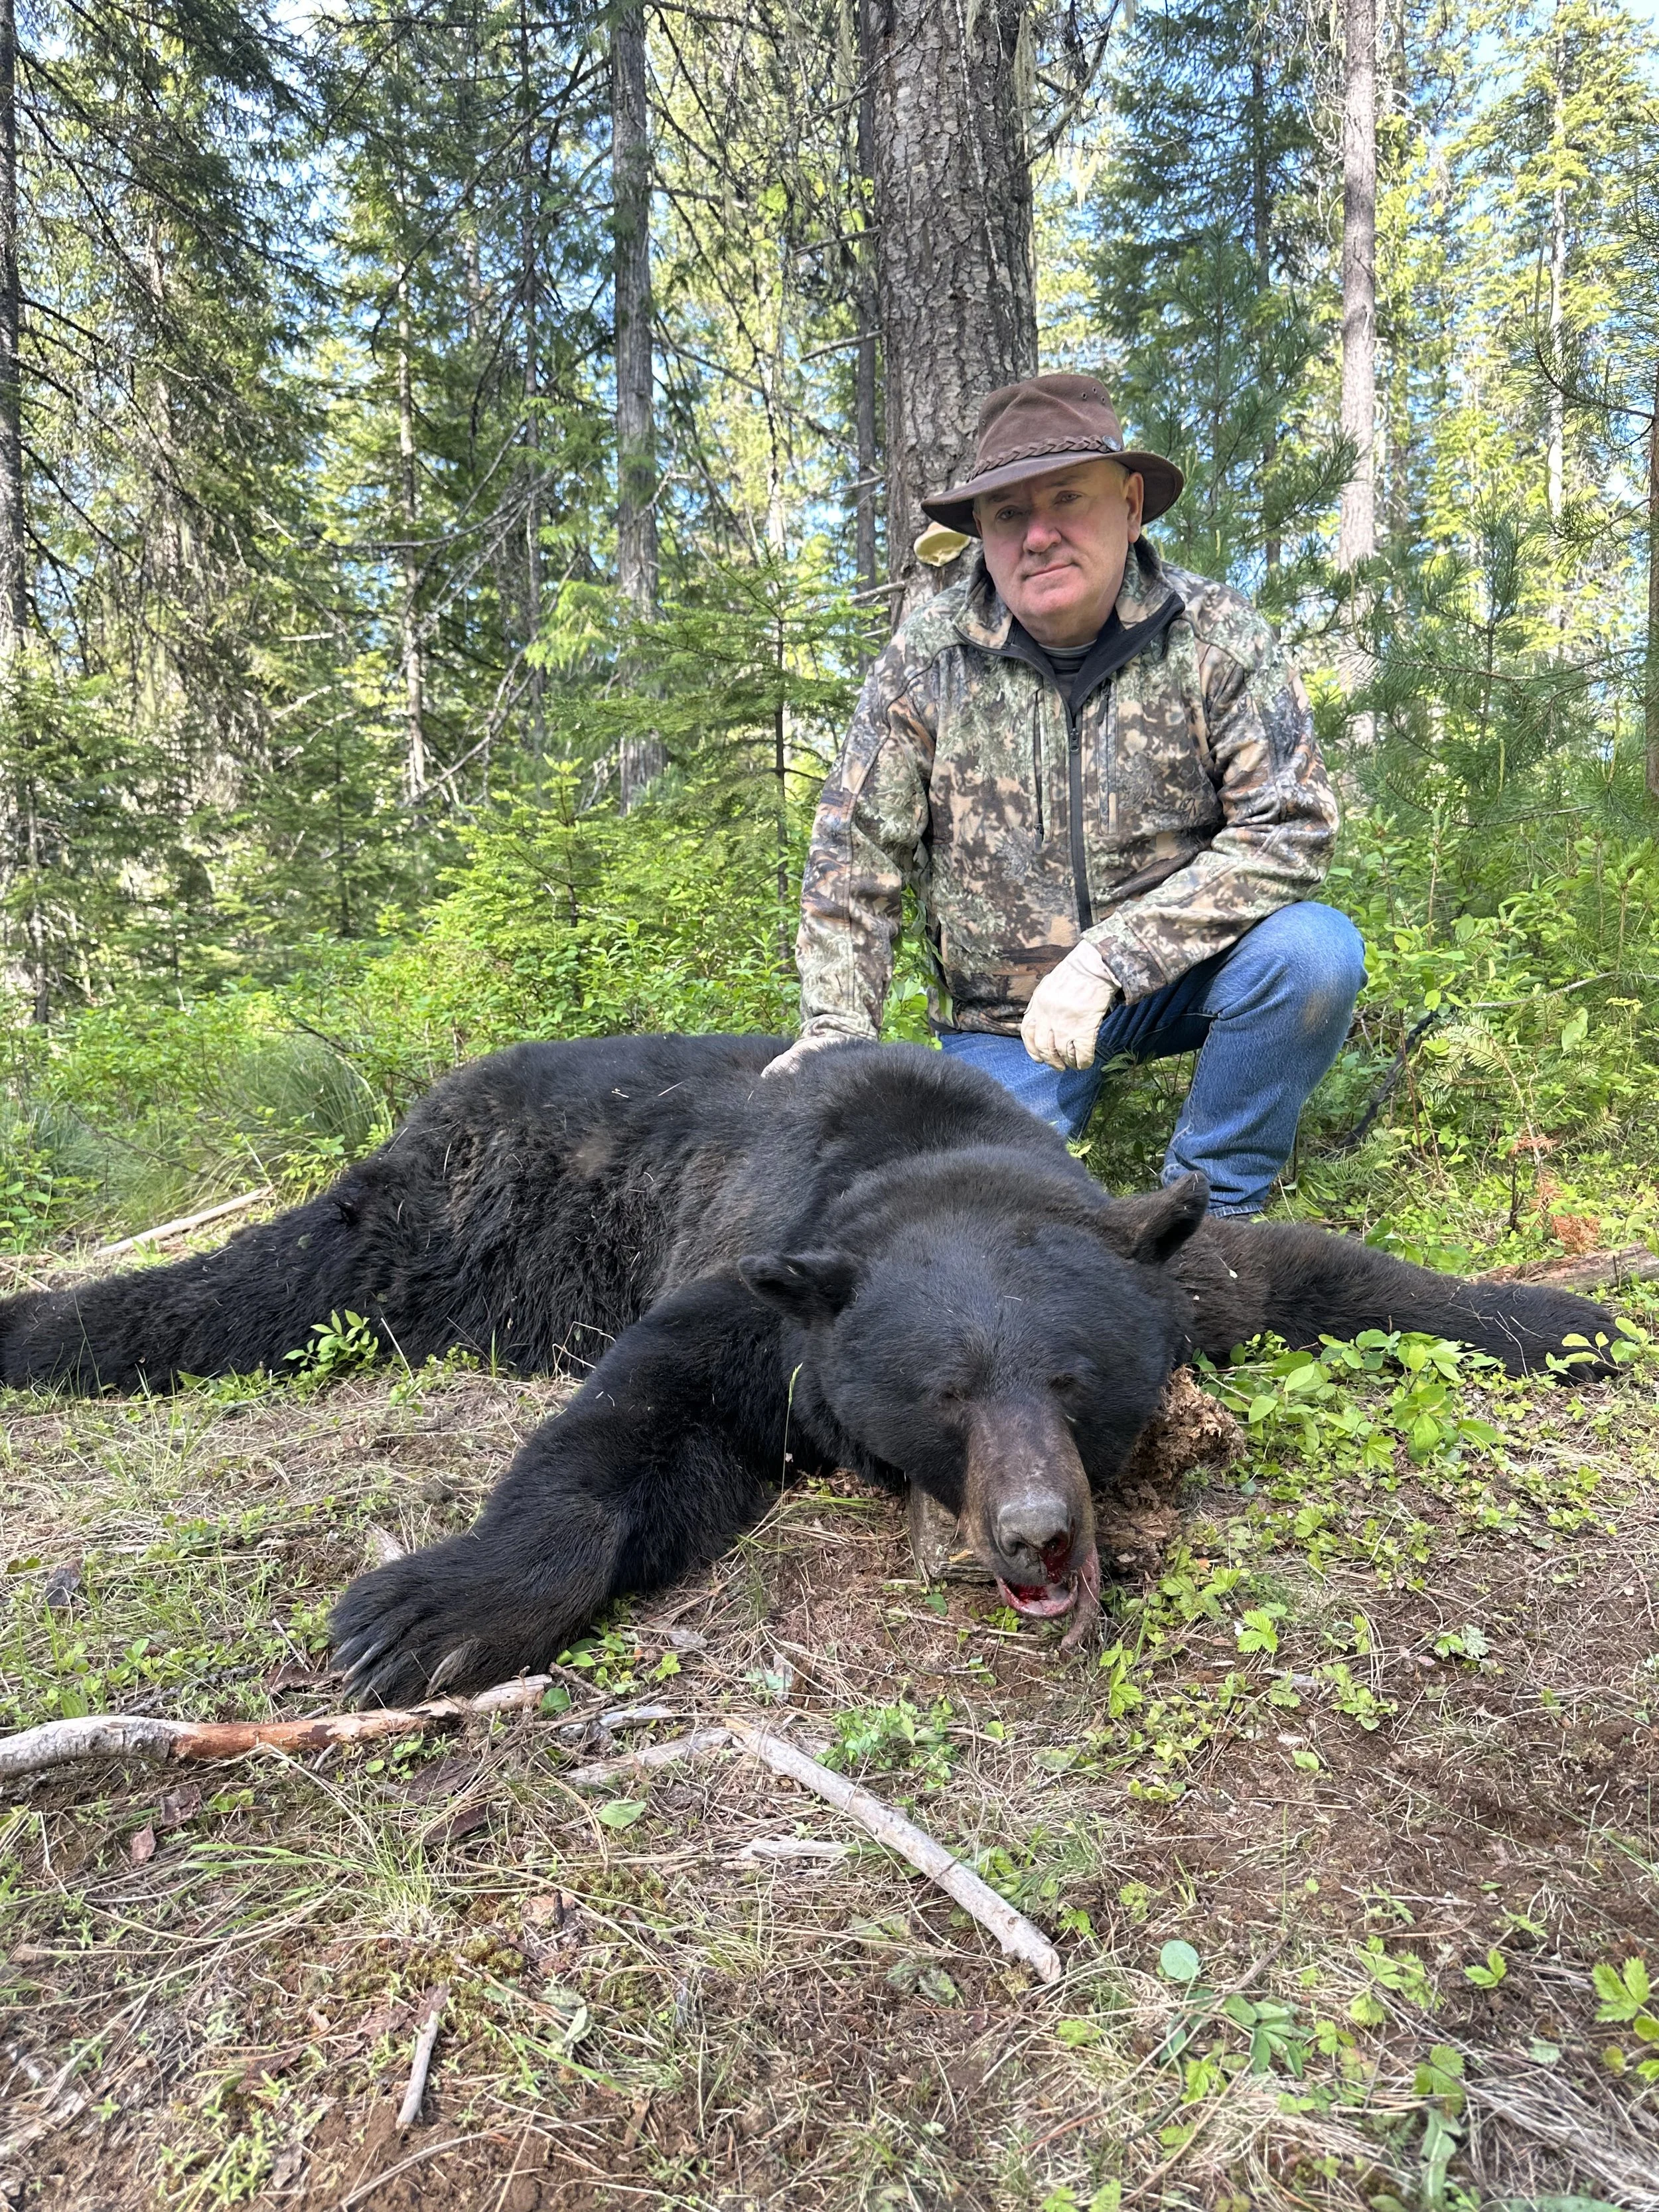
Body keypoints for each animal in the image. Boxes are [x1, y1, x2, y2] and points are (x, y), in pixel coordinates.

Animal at [0, 1034, 1616, 1704]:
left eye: (1075, 1380)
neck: (931, 1150)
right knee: (275, 1280)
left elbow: (1327, 1271)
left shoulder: (1155, 1254)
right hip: (457, 1223)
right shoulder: (764, 1303)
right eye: (945, 1395)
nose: (1037, 1534)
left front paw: (1564, 1314)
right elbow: (626, 1430)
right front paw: (428, 1609)